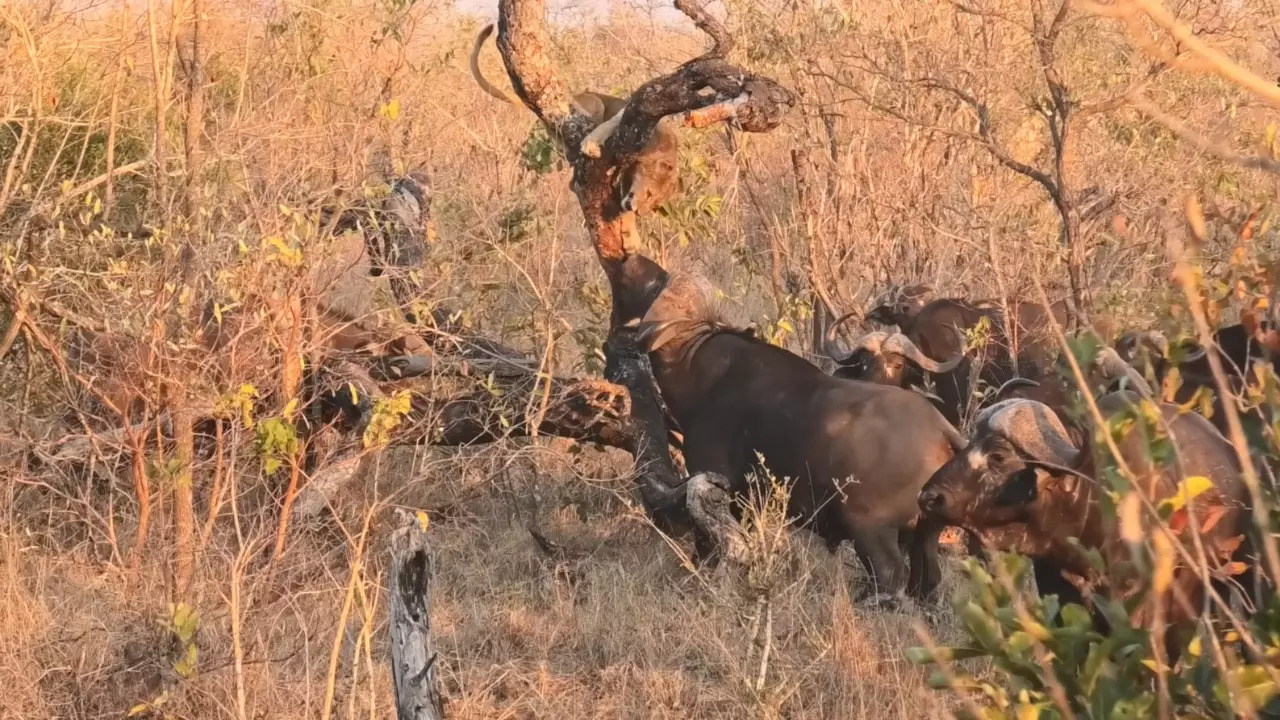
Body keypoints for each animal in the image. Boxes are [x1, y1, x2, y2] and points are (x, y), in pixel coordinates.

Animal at [614, 254, 962, 597]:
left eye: (658, 285)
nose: (629, 261)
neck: (703, 370)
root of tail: (941, 429)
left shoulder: (714, 487)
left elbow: (707, 551)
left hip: (873, 534)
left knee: (890, 578)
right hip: (924, 537)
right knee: (928, 580)